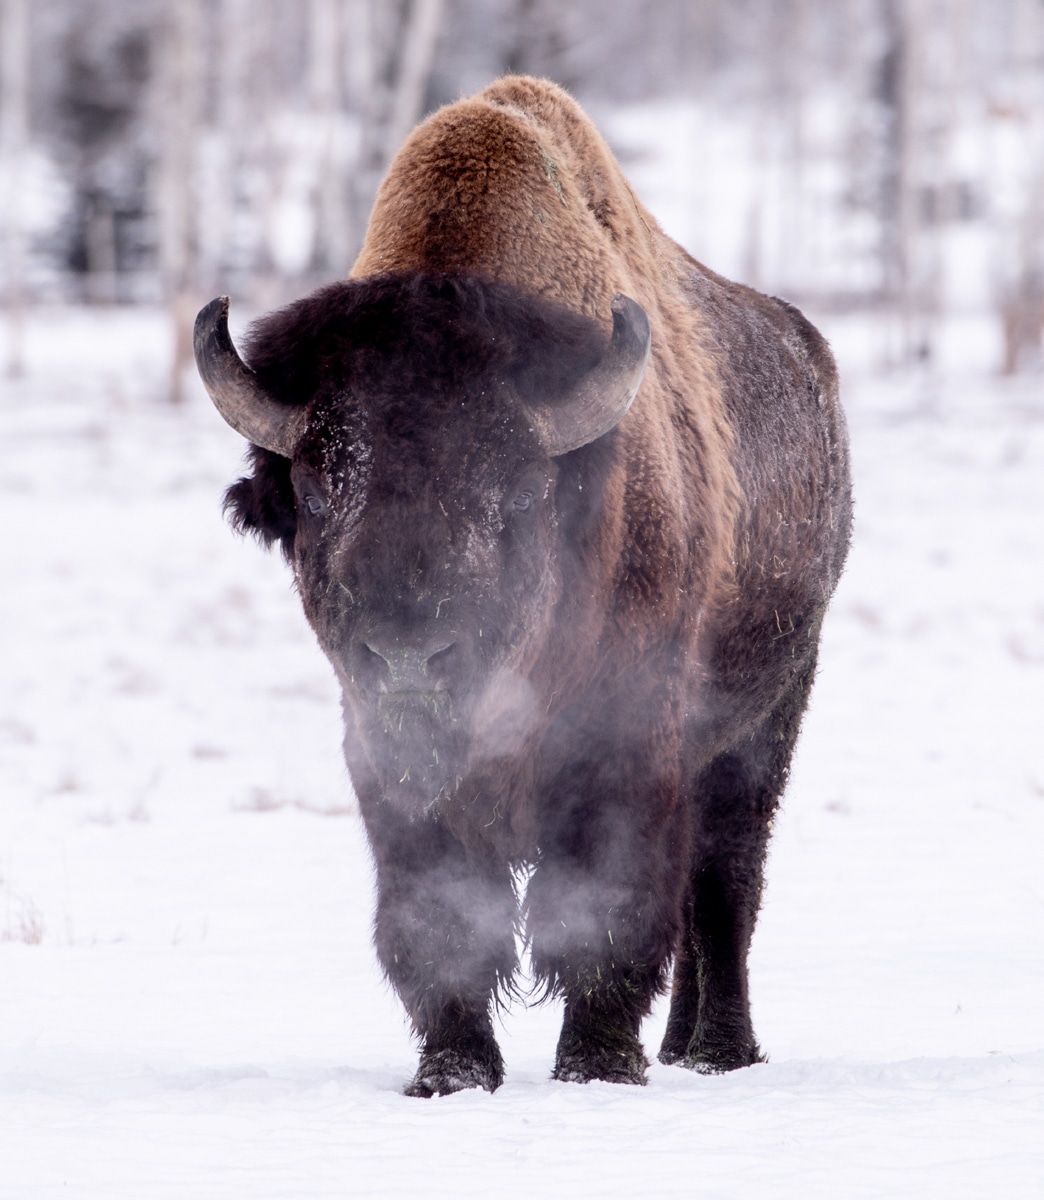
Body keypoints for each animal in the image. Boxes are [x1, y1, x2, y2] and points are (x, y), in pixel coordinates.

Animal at [194, 70, 849, 1094]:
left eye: (517, 489)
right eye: (315, 482)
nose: (409, 658)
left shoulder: (627, 747)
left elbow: (608, 914)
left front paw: (597, 1068)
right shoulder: (382, 759)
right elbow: (437, 921)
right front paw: (453, 1073)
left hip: (765, 723)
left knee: (723, 887)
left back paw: (718, 1054)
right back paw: (680, 1048)